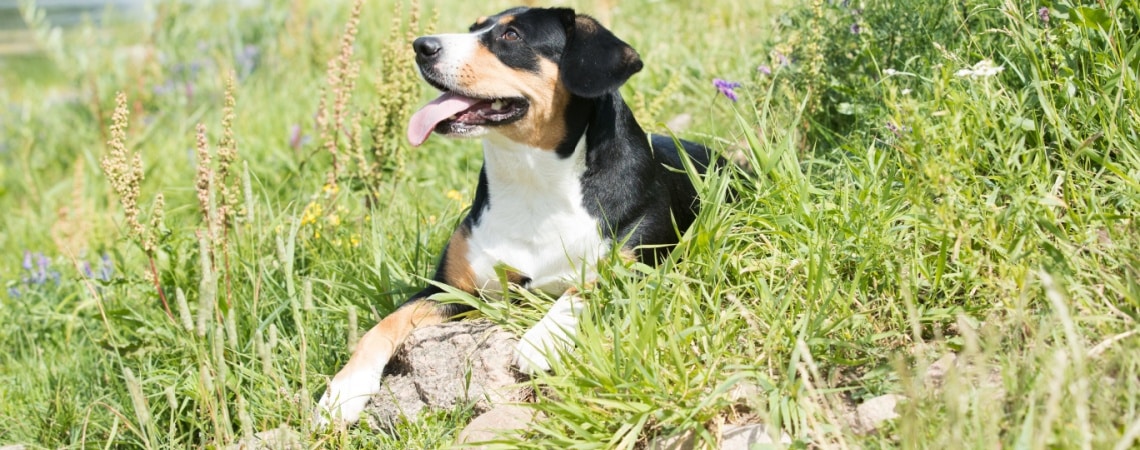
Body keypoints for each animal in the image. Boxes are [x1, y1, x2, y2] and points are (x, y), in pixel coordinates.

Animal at [321, 5, 711, 423]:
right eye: (474, 28)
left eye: (511, 36)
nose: (421, 45)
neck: (532, 183)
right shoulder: (448, 289)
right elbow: (383, 325)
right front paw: (345, 389)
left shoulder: (640, 262)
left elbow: (588, 286)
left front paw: (541, 338)